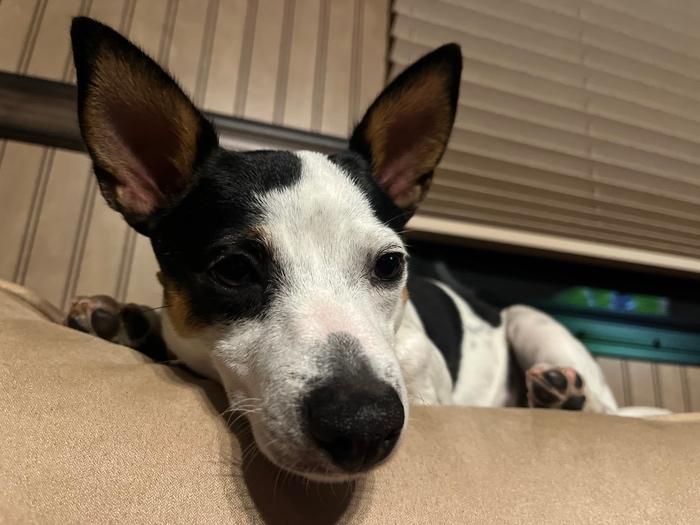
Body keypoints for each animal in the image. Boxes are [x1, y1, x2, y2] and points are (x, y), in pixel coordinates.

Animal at [66, 17, 623, 482]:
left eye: (391, 265)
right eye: (233, 270)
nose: (364, 425)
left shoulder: (426, 384)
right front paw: (130, 319)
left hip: (533, 322)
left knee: (601, 408)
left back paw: (560, 397)